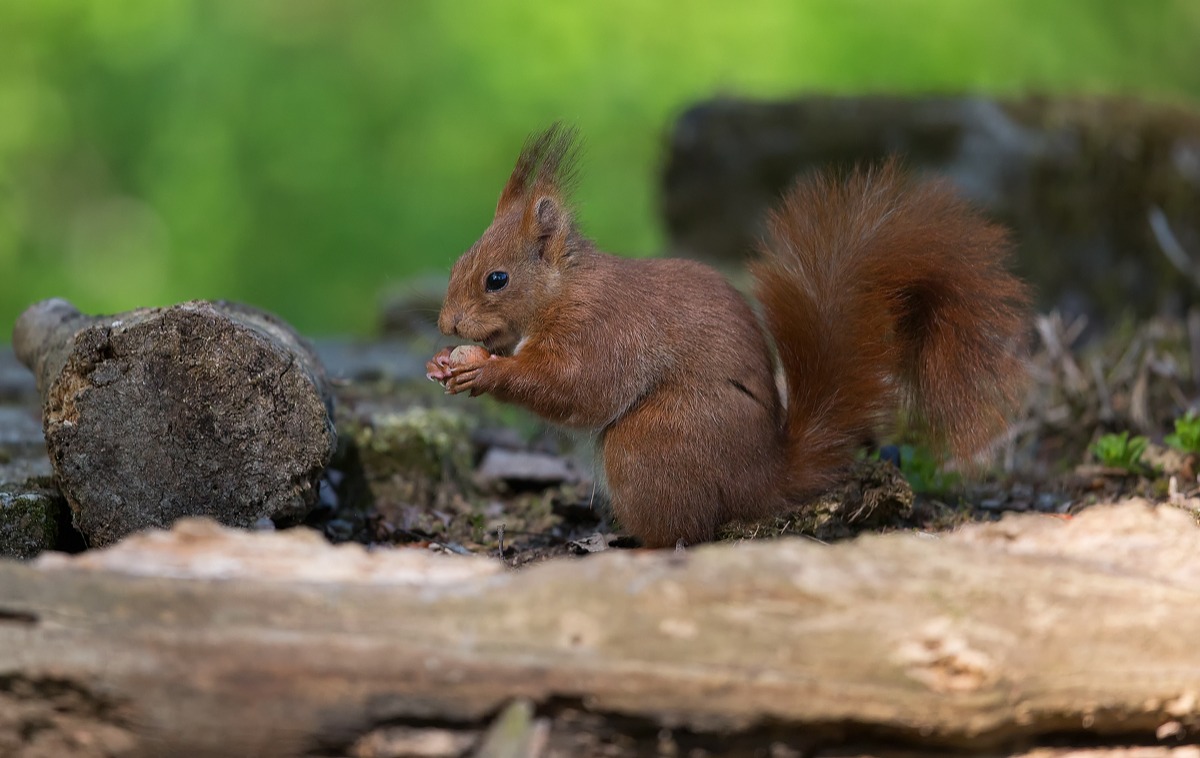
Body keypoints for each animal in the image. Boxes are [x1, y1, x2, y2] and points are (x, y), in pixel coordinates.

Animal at [427, 124, 1029, 548]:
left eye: (497, 279)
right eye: (456, 262)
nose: (446, 325)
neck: (563, 289)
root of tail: (762, 479)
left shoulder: (604, 328)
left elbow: (576, 386)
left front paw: (484, 369)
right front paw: (443, 363)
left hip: (650, 445)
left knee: (685, 533)